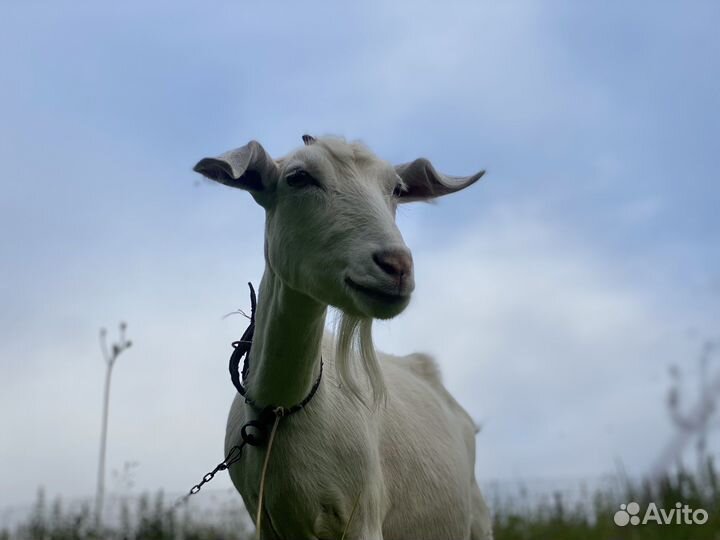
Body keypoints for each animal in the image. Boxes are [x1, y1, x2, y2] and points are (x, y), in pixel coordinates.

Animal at [193, 136, 493, 540]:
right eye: (298, 178)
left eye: (396, 189)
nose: (397, 266)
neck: (281, 409)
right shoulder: (265, 521)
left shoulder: (363, 515)